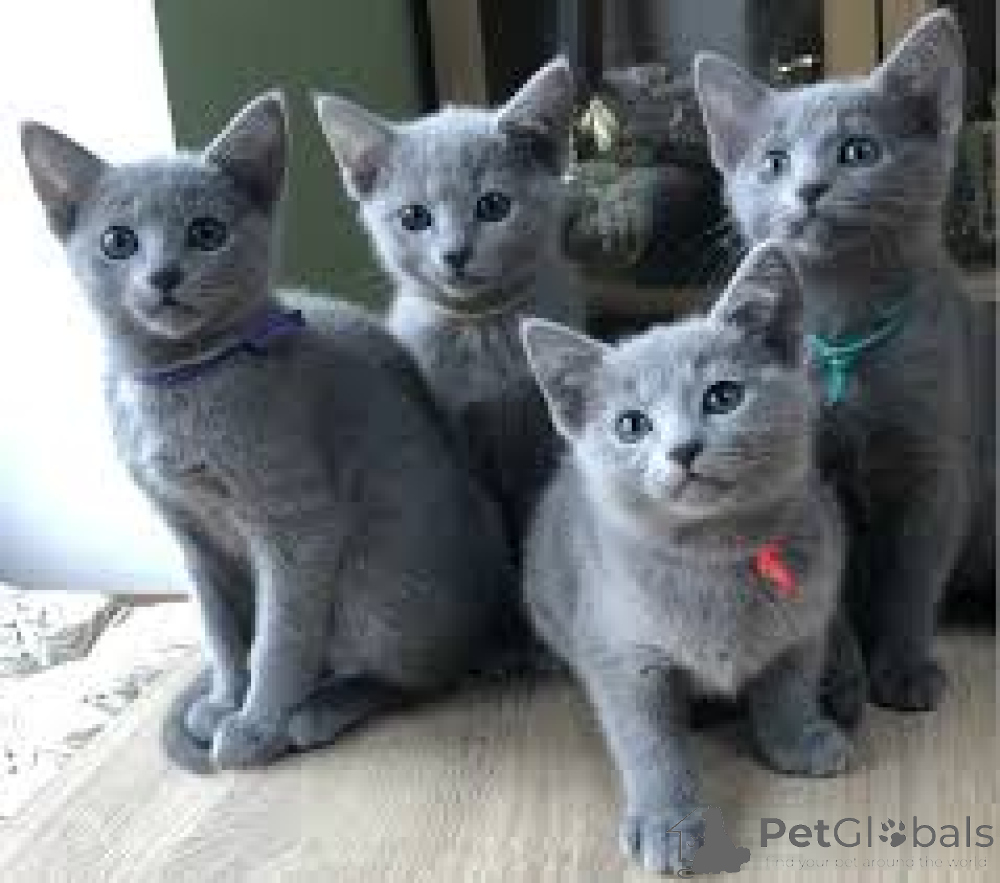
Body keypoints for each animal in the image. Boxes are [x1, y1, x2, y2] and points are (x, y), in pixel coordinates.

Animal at [21, 91, 514, 771]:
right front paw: (225, 701)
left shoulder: (297, 527)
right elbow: (224, 632)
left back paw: (320, 709)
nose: (164, 274)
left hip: (375, 587)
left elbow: (279, 639)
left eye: (206, 233)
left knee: (420, 675)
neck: (179, 380)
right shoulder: (192, 537)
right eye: (118, 241)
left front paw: (256, 725)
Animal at [313, 58, 585, 547]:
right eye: (414, 217)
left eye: (493, 206)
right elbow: (486, 506)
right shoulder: (455, 434)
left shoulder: (542, 431)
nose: (455, 254)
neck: (482, 327)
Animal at [521, 242, 857, 875]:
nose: (683, 449)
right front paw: (666, 821)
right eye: (632, 425)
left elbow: (789, 685)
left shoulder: (802, 624)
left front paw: (797, 738)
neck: (715, 555)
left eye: (723, 396)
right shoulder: (619, 652)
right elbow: (648, 741)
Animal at [694, 9, 988, 711]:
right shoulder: (804, 483)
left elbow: (916, 577)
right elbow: (825, 593)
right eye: (773, 162)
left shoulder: (937, 464)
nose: (807, 188)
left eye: (858, 151)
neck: (844, 328)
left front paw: (905, 668)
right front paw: (835, 681)